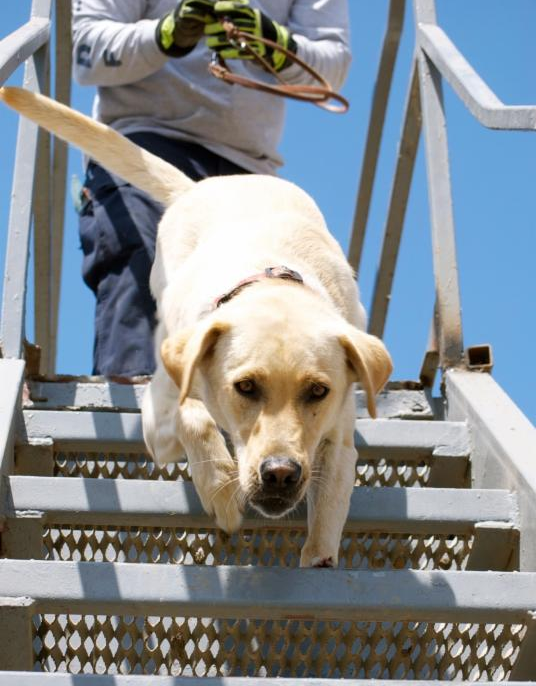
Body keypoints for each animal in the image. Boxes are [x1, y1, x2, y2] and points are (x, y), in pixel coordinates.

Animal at [1, 87, 394, 568]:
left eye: (319, 391)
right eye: (245, 387)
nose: (280, 474)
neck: (270, 277)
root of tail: (203, 185)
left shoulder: (336, 440)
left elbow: (326, 523)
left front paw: (318, 559)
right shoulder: (167, 396)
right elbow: (191, 417)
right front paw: (220, 486)